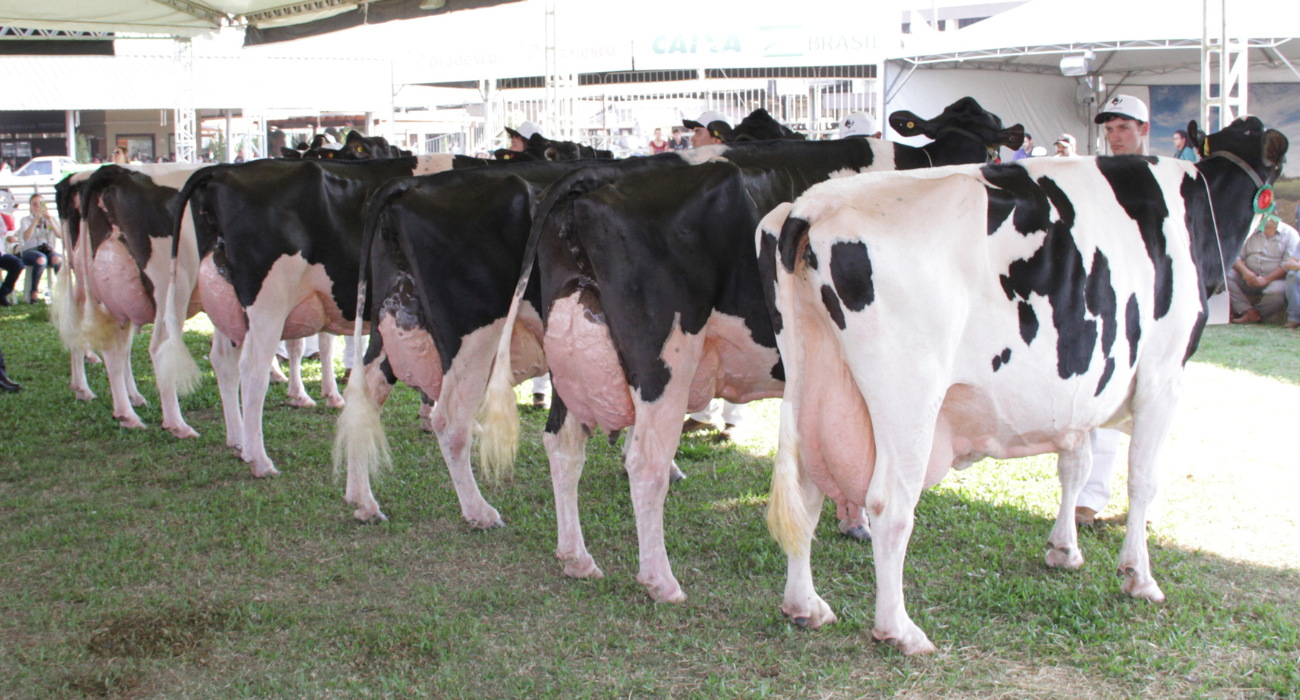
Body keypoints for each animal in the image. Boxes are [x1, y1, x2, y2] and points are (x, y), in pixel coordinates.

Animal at [478, 96, 1024, 598]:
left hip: (570, 343)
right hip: (663, 359)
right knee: (645, 462)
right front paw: (856, 522)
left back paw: (576, 556)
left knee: (563, 443)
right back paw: (661, 581)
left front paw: (850, 520)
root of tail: (594, 173)